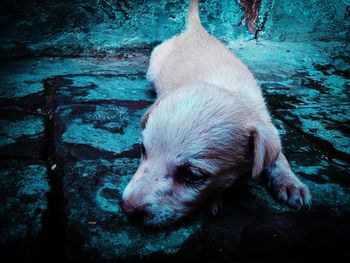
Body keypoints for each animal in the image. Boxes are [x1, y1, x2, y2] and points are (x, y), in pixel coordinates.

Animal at [121, 0, 312, 227]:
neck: (223, 87)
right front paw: (212, 201)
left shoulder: (268, 127)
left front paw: (291, 183)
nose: (126, 209)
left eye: (193, 175)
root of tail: (196, 32)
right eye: (143, 150)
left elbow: (279, 158)